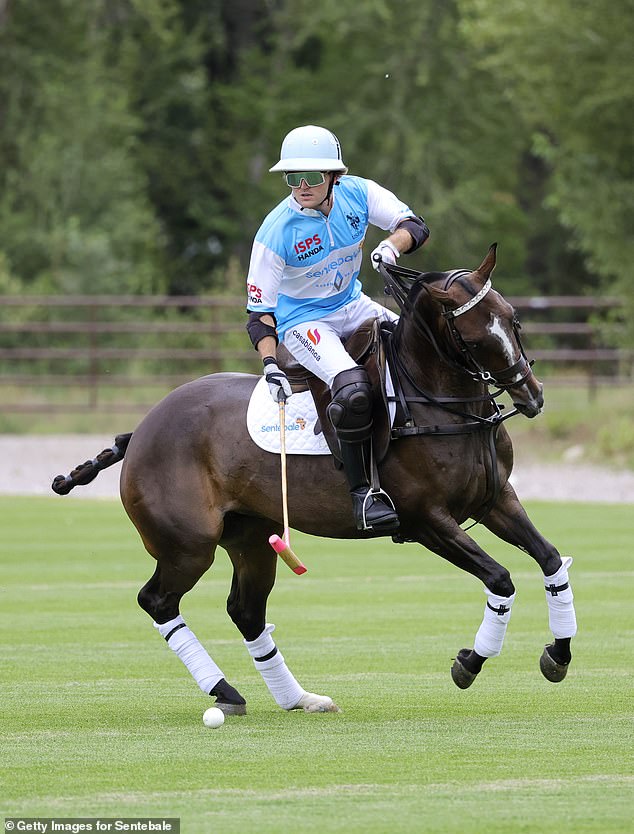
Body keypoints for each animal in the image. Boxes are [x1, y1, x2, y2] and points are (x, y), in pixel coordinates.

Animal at [54, 244, 576, 712]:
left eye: (513, 319)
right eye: (473, 337)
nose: (532, 396)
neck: (436, 400)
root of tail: (139, 431)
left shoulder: (495, 500)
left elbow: (551, 560)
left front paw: (559, 653)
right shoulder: (426, 519)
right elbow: (500, 579)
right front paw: (469, 662)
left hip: (251, 536)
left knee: (245, 611)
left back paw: (298, 698)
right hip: (188, 545)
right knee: (158, 601)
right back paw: (224, 691)